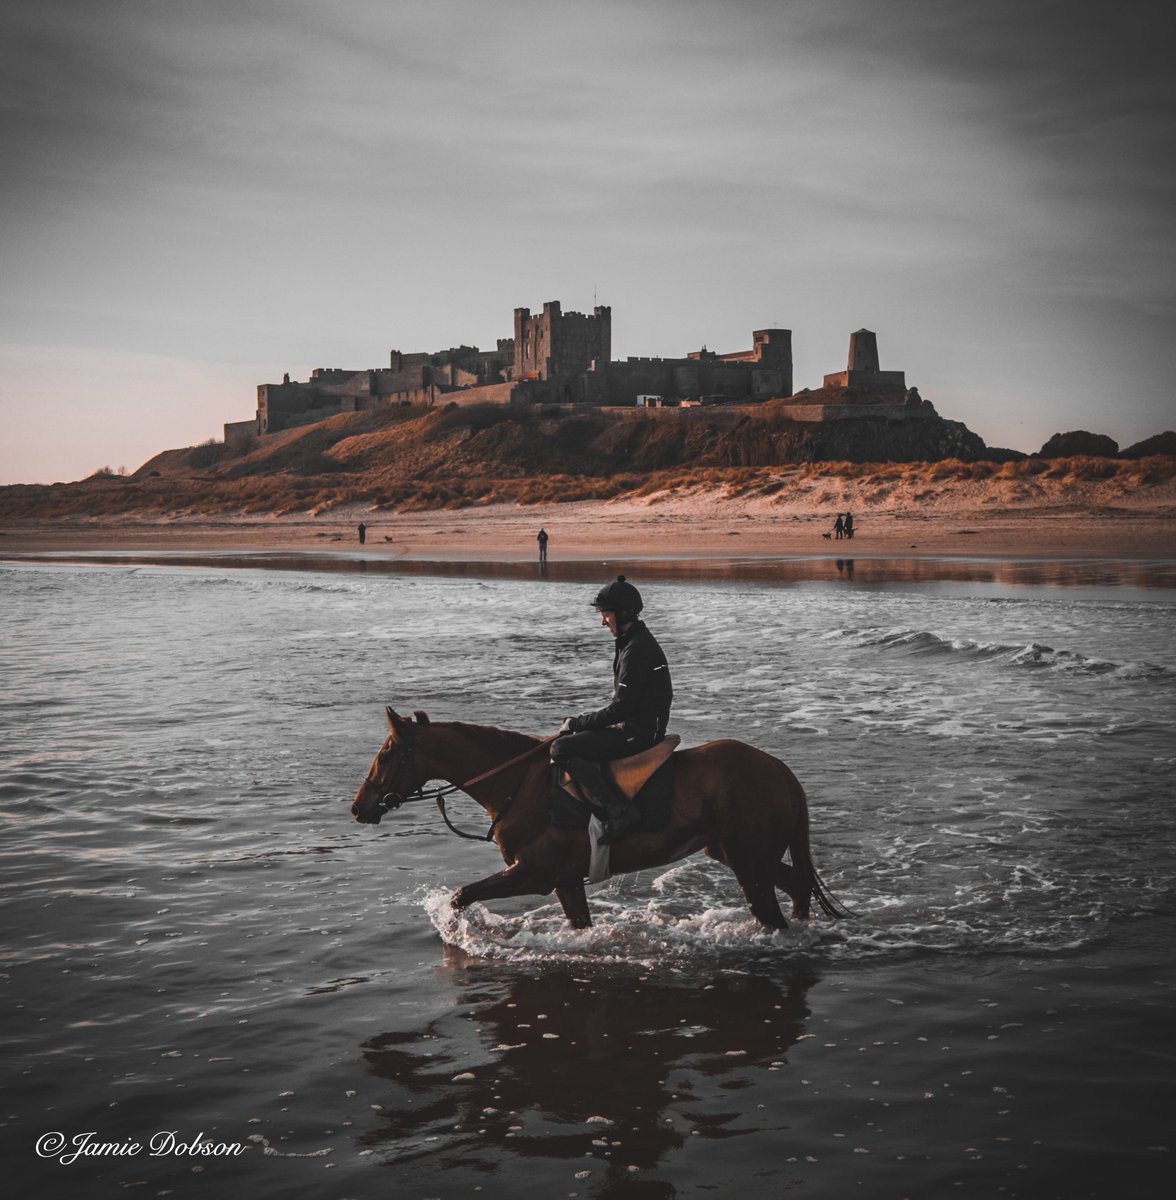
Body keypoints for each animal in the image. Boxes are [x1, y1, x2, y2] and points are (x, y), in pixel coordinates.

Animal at [349, 707, 851, 931]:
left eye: (387, 754)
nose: (358, 807)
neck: (518, 784)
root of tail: (782, 773)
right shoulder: (566, 881)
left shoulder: (533, 874)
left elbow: (460, 896)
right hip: (740, 855)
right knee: (797, 886)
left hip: (748, 863)